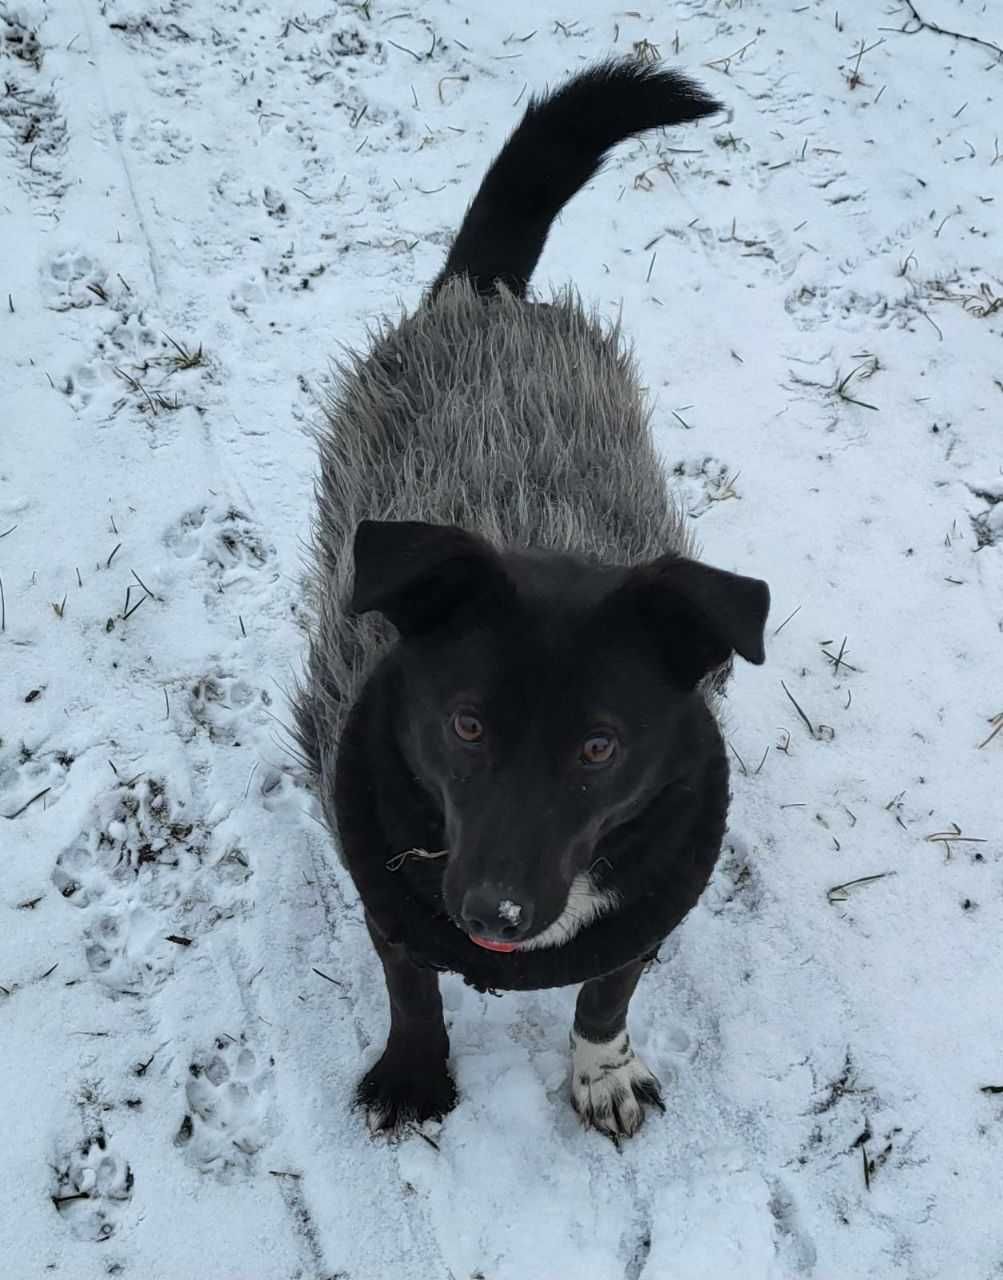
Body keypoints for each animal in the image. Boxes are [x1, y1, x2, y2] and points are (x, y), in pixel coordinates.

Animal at [294, 57, 772, 1141]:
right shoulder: (391, 902)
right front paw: (415, 1072)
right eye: (464, 724)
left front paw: (602, 1072)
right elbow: (411, 989)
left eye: (600, 747)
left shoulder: (645, 912)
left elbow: (606, 991)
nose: (494, 915)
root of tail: (485, 295)